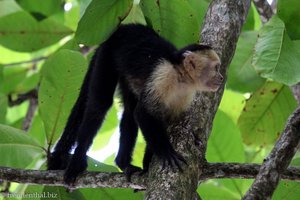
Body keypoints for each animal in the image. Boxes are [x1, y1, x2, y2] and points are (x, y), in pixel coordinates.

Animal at [46, 22, 220, 184]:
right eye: (216, 68)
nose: (221, 77)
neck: (181, 76)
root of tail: (123, 27)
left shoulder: (185, 95)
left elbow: (163, 119)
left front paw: (148, 162)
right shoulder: (163, 76)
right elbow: (144, 113)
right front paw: (166, 152)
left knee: (129, 111)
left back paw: (123, 163)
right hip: (108, 54)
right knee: (100, 105)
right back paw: (77, 162)